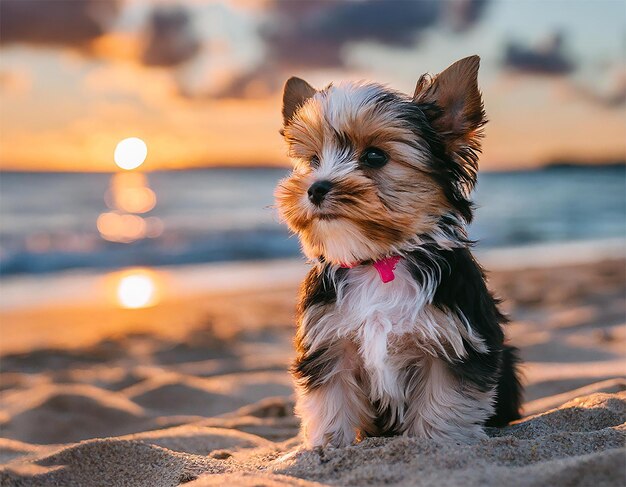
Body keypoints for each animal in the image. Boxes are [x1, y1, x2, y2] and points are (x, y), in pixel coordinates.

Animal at [276, 55, 520, 448]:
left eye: (375, 156)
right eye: (313, 160)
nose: (315, 188)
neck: (381, 259)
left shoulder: (454, 340)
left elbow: (445, 401)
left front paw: (437, 444)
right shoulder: (329, 343)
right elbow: (330, 400)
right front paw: (326, 446)